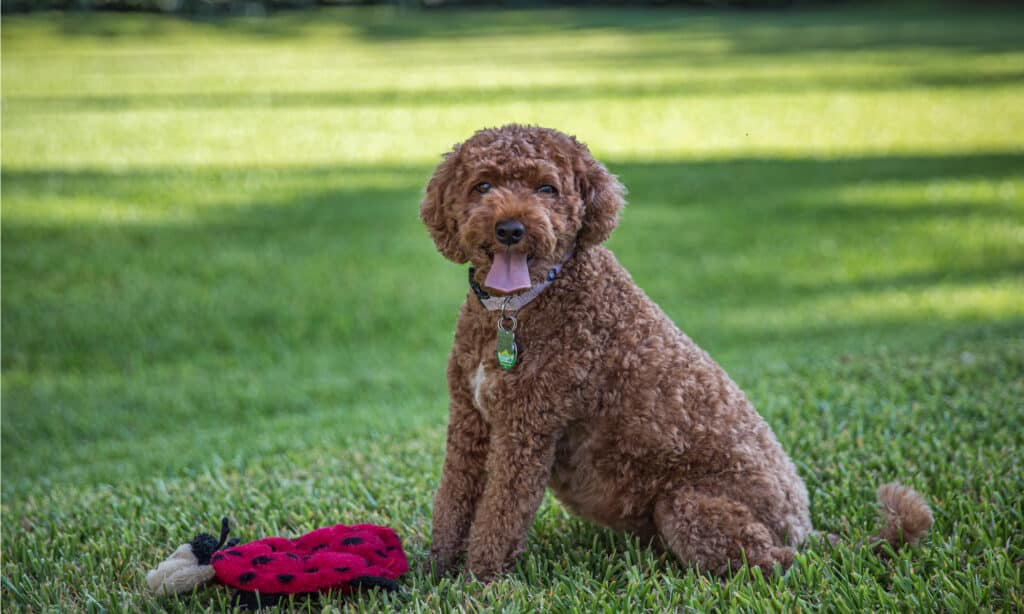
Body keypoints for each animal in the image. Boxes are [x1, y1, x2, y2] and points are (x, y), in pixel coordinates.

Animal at [417, 124, 937, 581]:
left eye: (547, 188)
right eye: (482, 185)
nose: (510, 228)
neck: (516, 308)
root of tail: (805, 529)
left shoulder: (526, 430)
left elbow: (499, 516)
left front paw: (478, 582)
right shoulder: (470, 421)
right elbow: (453, 501)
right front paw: (436, 571)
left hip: (688, 504)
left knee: (773, 564)